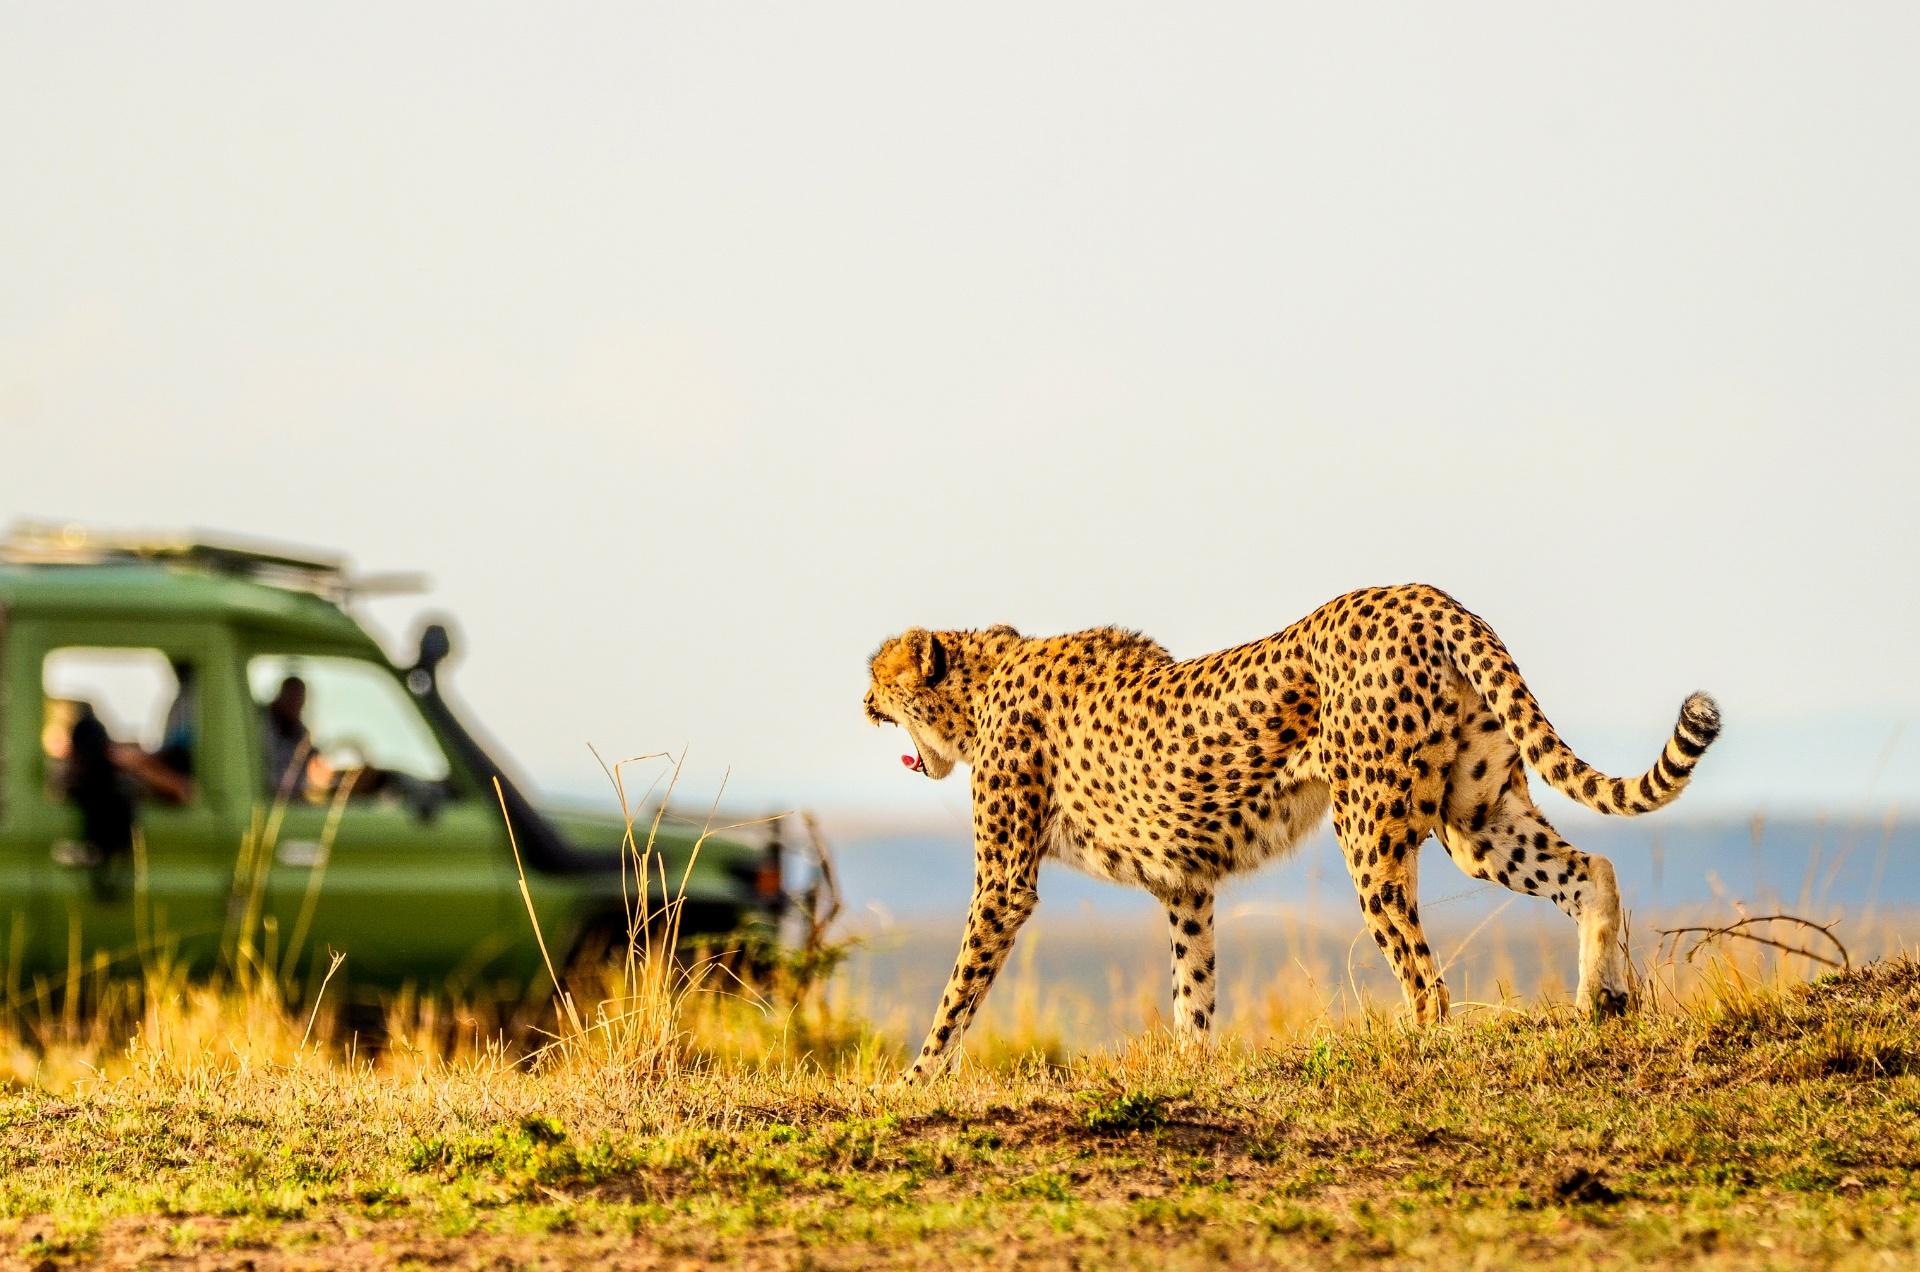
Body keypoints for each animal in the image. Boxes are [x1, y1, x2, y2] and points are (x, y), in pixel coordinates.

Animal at [864, 584, 1720, 1083]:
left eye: (878, 677)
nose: (863, 704)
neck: (983, 684)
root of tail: (1423, 594)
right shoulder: (1186, 883)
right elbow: (1194, 982)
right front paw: (1192, 1067)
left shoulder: (1005, 882)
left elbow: (958, 988)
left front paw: (913, 1083)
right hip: (1477, 820)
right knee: (1591, 870)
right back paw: (1599, 1003)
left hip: (1370, 831)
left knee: (1426, 980)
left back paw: (1419, 1047)